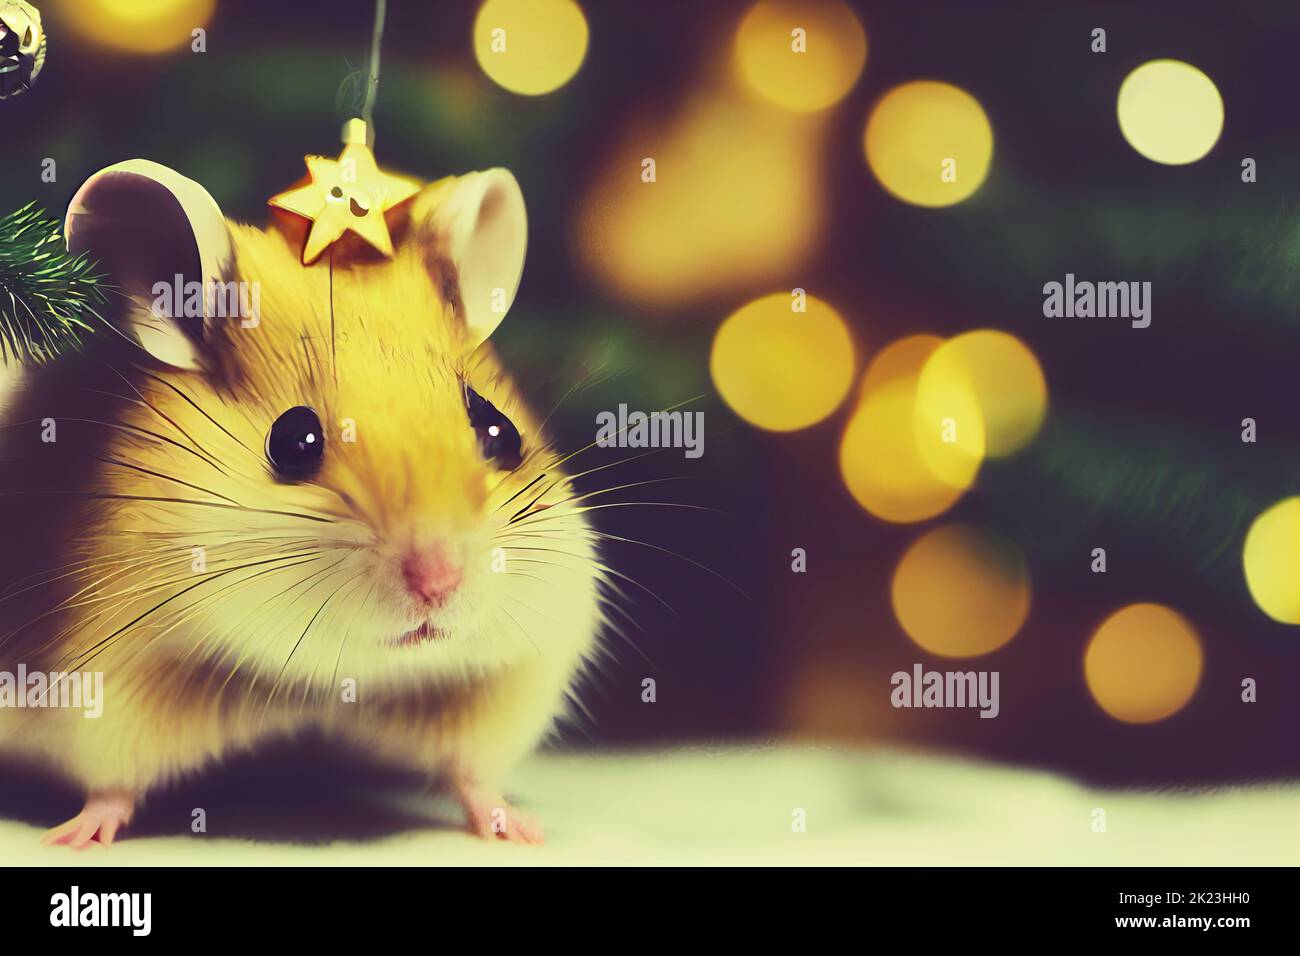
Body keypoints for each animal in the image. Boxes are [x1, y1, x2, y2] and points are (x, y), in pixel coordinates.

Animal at [0, 159, 605, 846]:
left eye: (499, 431)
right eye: (294, 441)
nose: (439, 582)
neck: (323, 685)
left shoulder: (506, 682)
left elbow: (473, 777)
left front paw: (524, 832)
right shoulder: (104, 697)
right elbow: (111, 787)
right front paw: (69, 840)